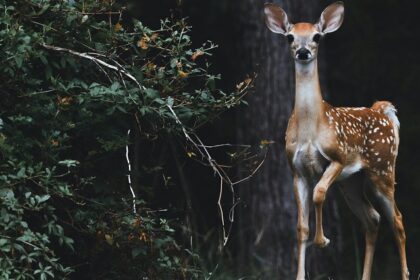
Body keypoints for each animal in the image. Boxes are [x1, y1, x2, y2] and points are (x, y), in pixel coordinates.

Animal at [264, 2, 408, 280]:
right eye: (290, 37)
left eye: (317, 36)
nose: (303, 52)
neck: (311, 129)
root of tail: (383, 111)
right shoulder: (296, 170)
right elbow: (301, 226)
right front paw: (300, 274)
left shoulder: (338, 157)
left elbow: (319, 193)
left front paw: (323, 241)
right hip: (352, 182)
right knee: (372, 218)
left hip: (382, 169)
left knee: (397, 219)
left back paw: (406, 274)